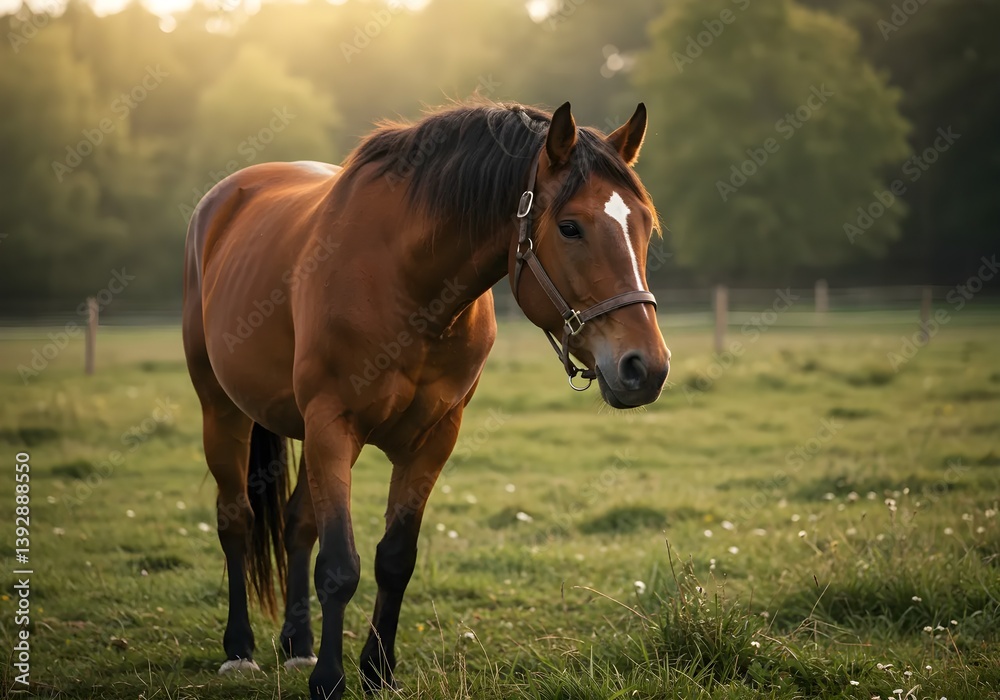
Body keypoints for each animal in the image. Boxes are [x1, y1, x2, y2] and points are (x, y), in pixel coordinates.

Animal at [182, 99, 670, 699]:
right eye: (570, 227)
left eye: (644, 224)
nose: (645, 367)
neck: (404, 280)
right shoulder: (332, 425)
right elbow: (339, 567)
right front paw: (329, 680)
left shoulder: (433, 438)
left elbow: (394, 558)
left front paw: (377, 671)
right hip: (223, 411)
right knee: (237, 521)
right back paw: (240, 651)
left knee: (297, 525)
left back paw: (297, 645)